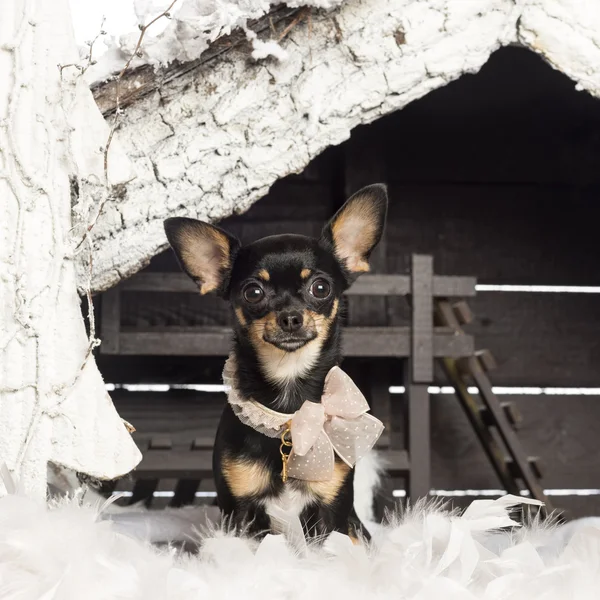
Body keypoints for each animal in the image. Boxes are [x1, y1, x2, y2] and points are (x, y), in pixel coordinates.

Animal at [164, 183, 390, 540]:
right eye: (253, 293)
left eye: (321, 287)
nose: (290, 317)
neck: (289, 412)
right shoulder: (239, 513)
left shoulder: (333, 514)